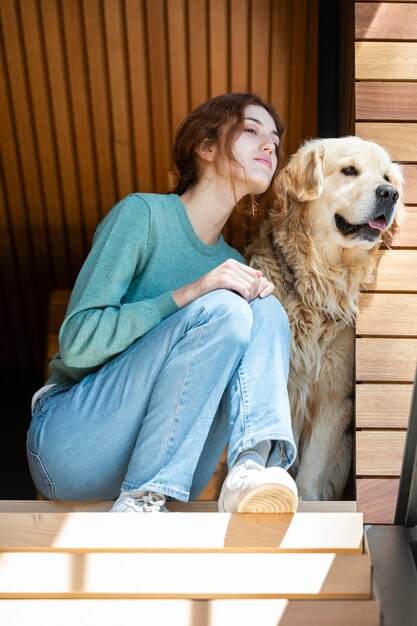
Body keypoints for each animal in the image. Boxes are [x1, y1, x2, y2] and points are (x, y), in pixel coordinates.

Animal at [247, 135, 404, 498]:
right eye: (349, 170)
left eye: (387, 177)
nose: (390, 194)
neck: (316, 280)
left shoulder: (334, 396)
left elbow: (311, 468)